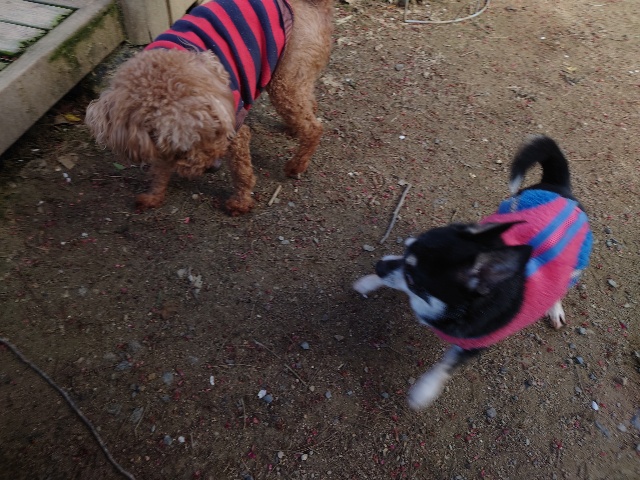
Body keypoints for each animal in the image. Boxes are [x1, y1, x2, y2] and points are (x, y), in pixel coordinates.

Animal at [85, 0, 333, 215]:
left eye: (216, 132)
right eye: (180, 146)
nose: (214, 167)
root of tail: (311, 4)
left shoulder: (236, 128)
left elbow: (242, 171)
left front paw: (240, 203)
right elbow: (160, 168)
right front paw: (153, 196)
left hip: (286, 79)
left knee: (314, 128)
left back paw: (296, 165)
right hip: (293, 78)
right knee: (309, 106)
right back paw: (293, 130)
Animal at [353, 136, 592, 409]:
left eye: (414, 281)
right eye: (405, 249)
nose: (378, 267)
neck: (449, 310)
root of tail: (558, 187)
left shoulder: (473, 346)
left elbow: (446, 365)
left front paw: (424, 390)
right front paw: (368, 282)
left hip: (575, 267)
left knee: (561, 288)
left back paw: (553, 308)